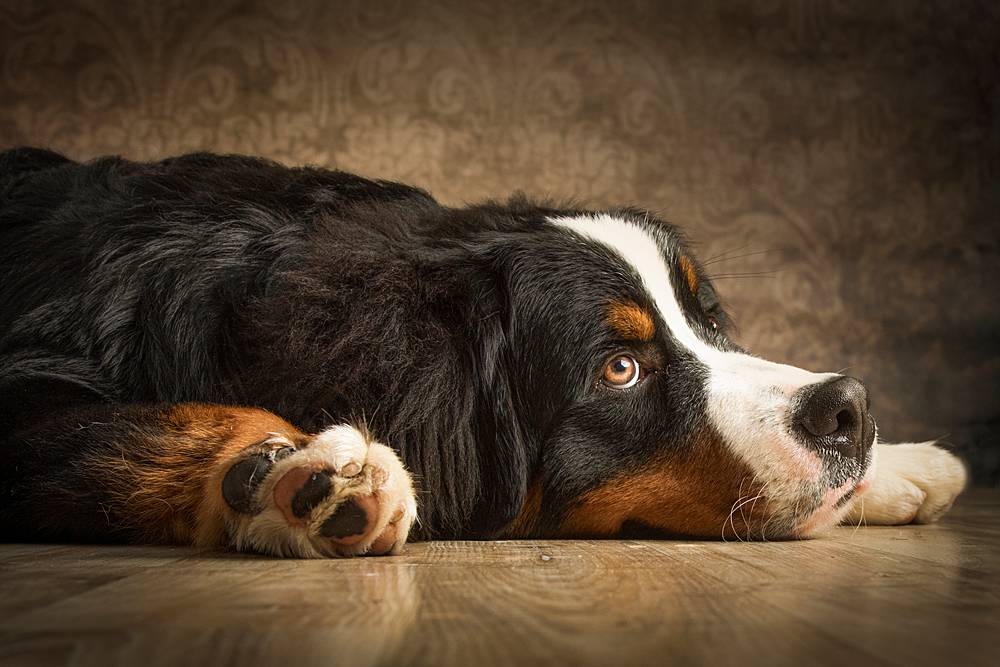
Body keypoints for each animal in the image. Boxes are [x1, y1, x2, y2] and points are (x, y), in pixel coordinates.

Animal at [1, 147, 968, 560]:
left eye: (712, 321)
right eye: (621, 368)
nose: (849, 407)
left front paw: (904, 461)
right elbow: (145, 428)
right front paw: (298, 472)